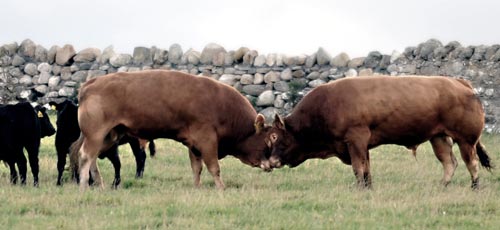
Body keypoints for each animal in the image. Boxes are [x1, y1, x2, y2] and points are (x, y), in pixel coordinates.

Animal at [70, 70, 270, 190]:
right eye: (269, 139)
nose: (272, 164)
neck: (222, 105)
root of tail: (90, 84)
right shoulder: (207, 141)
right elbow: (214, 167)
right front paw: (221, 188)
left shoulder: (194, 144)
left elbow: (196, 168)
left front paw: (197, 187)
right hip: (96, 135)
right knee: (85, 155)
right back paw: (84, 187)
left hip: (109, 136)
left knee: (91, 158)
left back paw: (100, 185)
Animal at [270, 75, 492, 189]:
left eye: (277, 138)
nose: (270, 162)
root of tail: (460, 83)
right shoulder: (361, 145)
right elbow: (366, 168)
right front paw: (368, 187)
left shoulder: (356, 140)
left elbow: (358, 168)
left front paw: (360, 188)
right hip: (438, 138)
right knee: (449, 162)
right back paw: (442, 185)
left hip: (466, 140)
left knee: (471, 163)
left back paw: (474, 186)